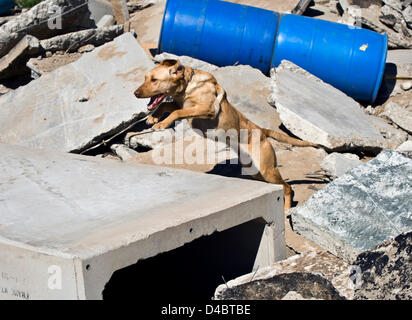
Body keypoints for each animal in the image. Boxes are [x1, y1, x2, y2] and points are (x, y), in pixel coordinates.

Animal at [135, 59, 316, 212]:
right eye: (146, 78)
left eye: (154, 80)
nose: (135, 93)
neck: (188, 86)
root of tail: (262, 130)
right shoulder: (180, 103)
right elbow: (166, 105)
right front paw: (153, 117)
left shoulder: (206, 109)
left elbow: (176, 111)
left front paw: (161, 123)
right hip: (255, 170)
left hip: (267, 170)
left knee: (287, 187)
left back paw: (286, 209)